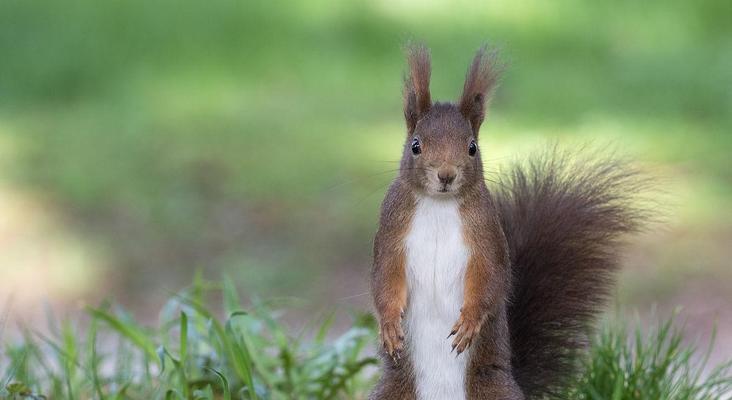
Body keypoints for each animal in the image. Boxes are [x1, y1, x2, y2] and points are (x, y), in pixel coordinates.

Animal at [372, 44, 648, 400]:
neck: (439, 205)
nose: (446, 175)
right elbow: (384, 277)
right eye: (416, 146)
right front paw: (390, 325)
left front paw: (470, 321)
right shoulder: (392, 227)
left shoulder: (486, 233)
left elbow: (492, 277)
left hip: (492, 389)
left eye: (472, 148)